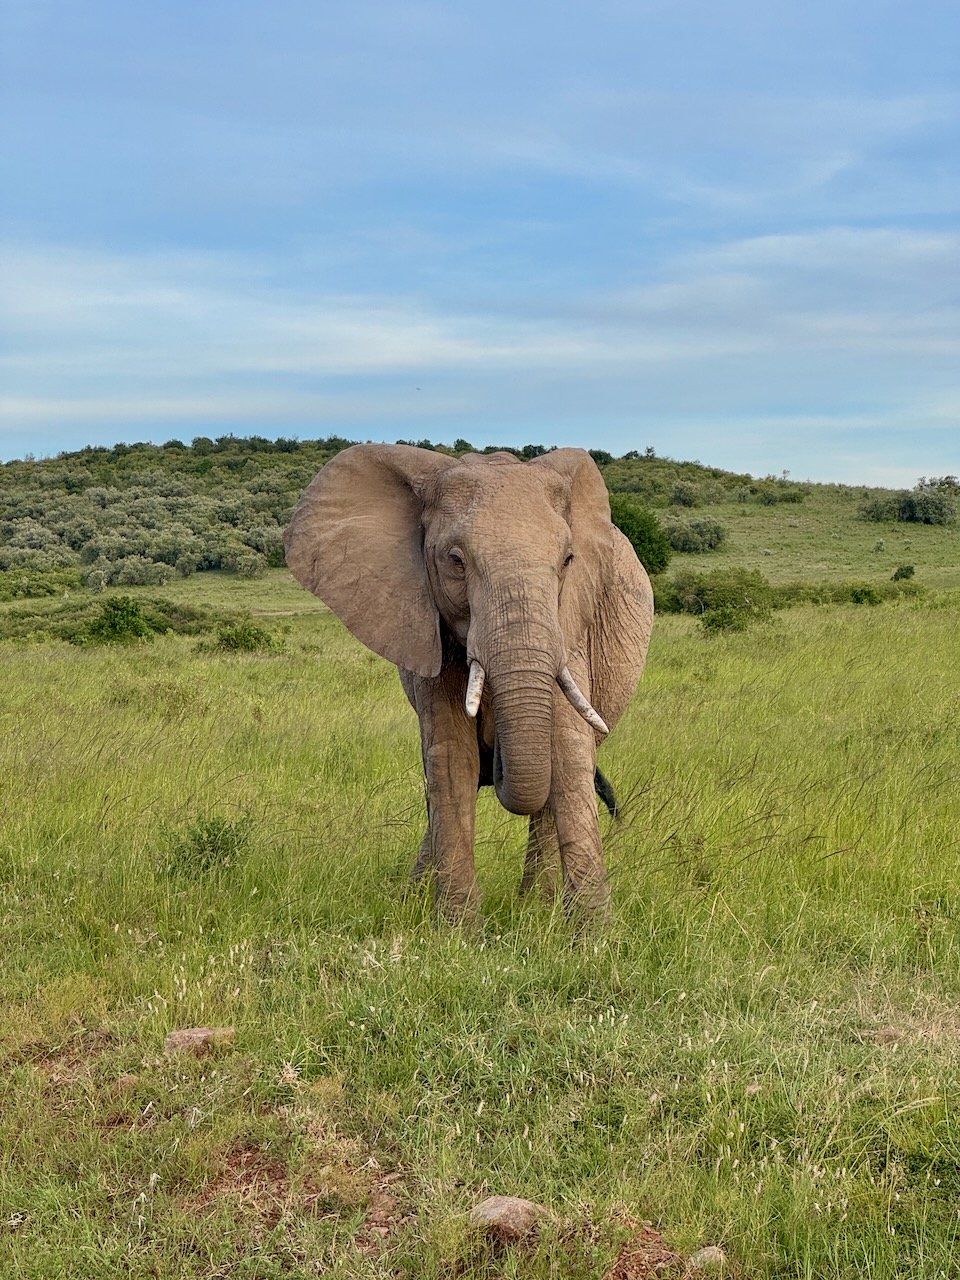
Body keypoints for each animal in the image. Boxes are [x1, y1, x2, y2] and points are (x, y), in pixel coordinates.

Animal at [284, 444, 654, 923]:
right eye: (455, 560)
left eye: (568, 560)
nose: (494, 757)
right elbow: (450, 759)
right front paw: (457, 929)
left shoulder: (570, 626)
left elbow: (569, 756)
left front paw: (594, 933)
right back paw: (417, 897)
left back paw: (535, 907)